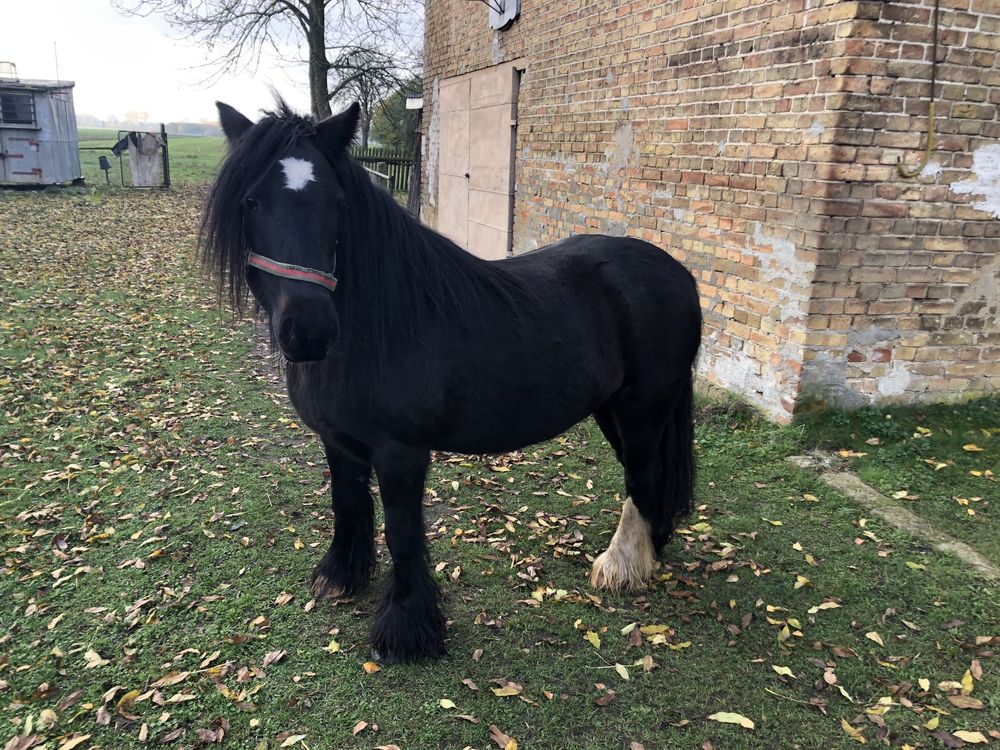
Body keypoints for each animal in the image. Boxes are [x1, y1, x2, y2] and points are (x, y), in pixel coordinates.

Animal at [201, 100, 704, 664]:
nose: (308, 331)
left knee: (642, 475)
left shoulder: (400, 452)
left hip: (644, 409)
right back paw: (652, 548)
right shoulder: (338, 442)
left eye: (336, 202)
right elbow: (348, 504)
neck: (378, 325)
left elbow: (403, 533)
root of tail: (678, 272)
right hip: (612, 409)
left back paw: (621, 567)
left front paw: (407, 631)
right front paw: (341, 577)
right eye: (251, 201)